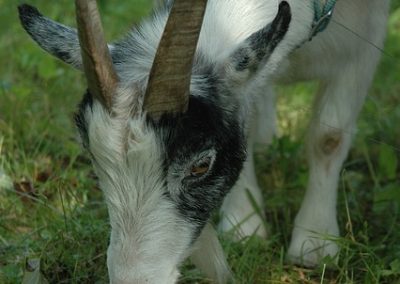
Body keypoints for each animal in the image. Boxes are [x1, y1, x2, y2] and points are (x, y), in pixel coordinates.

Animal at [17, 0, 390, 282]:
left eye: (200, 165)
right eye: (93, 157)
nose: (134, 278)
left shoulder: (369, 35)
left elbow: (329, 136)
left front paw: (315, 241)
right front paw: (244, 225)